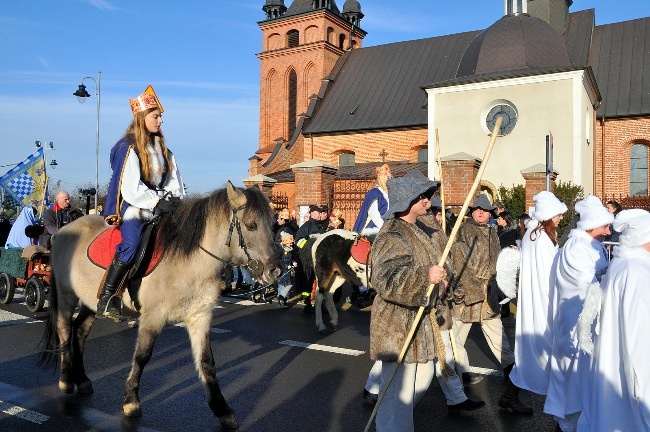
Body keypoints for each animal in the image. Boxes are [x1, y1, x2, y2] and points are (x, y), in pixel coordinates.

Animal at [39, 181, 280, 428]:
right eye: (251, 225)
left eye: (273, 225)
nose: (275, 271)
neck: (190, 261)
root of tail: (62, 232)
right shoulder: (153, 316)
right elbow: (142, 356)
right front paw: (131, 401)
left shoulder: (200, 317)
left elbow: (207, 362)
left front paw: (222, 410)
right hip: (66, 295)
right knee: (65, 329)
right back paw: (66, 379)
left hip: (90, 301)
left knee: (80, 331)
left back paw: (83, 379)